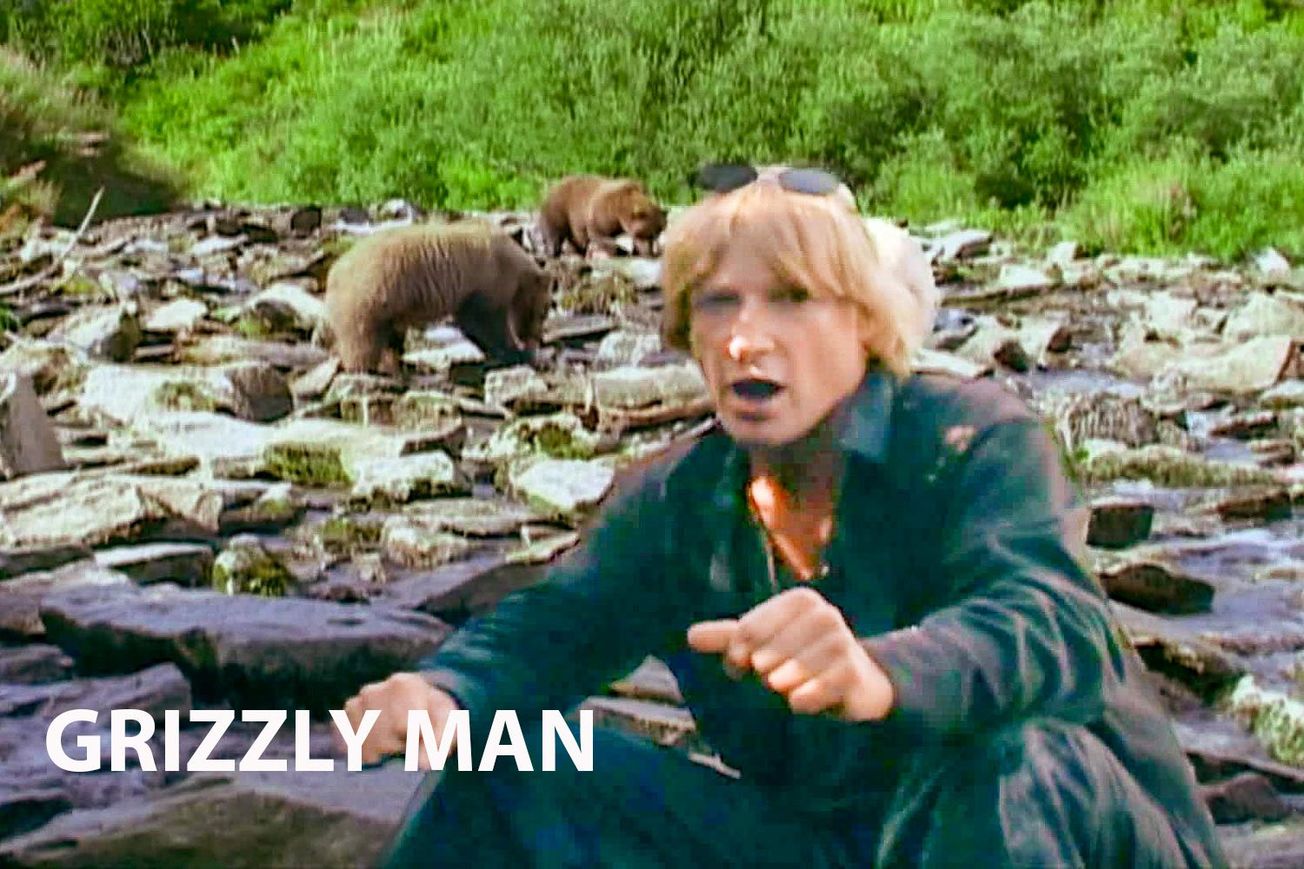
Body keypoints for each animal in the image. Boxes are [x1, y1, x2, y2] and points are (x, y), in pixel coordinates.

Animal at [324, 221, 553, 375]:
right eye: (544, 311)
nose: (537, 338)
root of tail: (333, 273)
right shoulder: (486, 278)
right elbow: (483, 321)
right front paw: (516, 353)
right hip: (369, 296)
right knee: (362, 338)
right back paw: (366, 369)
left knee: (388, 335)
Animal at [537, 174, 667, 258]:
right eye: (646, 234)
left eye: (657, 233)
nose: (650, 252)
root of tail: (555, 185)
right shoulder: (603, 211)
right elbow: (599, 233)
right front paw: (621, 250)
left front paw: (635, 251)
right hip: (560, 207)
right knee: (554, 230)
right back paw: (553, 251)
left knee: (576, 238)